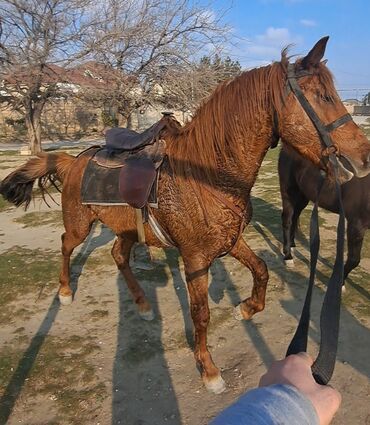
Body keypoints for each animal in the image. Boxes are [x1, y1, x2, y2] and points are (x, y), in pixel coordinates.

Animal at [278, 145, 368, 284]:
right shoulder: (356, 224)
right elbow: (354, 259)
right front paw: (340, 283)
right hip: (288, 192)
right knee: (287, 220)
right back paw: (288, 256)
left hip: (303, 195)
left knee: (295, 217)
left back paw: (292, 245)